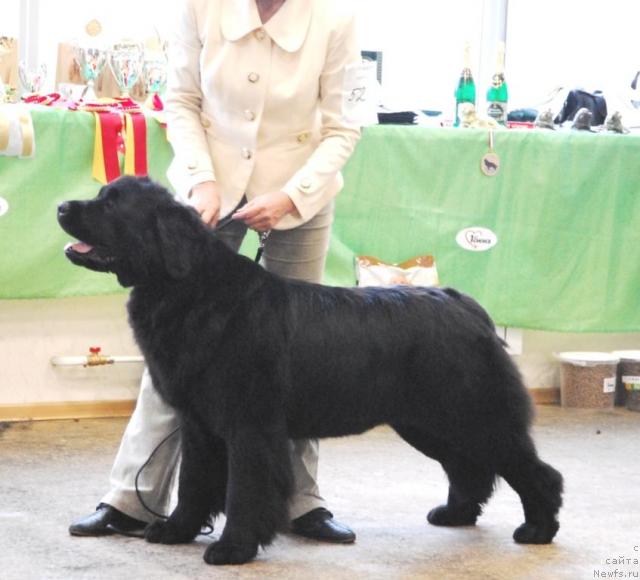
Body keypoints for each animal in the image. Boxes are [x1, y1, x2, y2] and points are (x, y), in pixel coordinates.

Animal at [57, 178, 564, 568]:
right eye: (102, 194)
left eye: (112, 203)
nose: (62, 205)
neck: (191, 291)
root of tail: (466, 304)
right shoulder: (198, 423)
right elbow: (194, 482)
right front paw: (176, 530)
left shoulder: (250, 425)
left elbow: (244, 489)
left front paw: (233, 549)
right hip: (428, 421)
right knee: (468, 466)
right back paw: (455, 514)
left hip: (472, 414)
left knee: (533, 471)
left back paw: (537, 529)